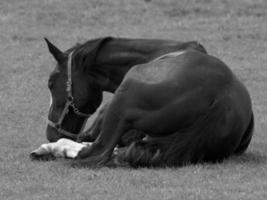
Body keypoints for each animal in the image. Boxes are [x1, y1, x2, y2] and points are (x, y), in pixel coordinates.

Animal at [30, 37, 254, 167]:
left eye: (51, 83)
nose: (51, 133)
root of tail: (220, 99)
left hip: (121, 105)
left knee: (97, 152)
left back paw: (52, 148)